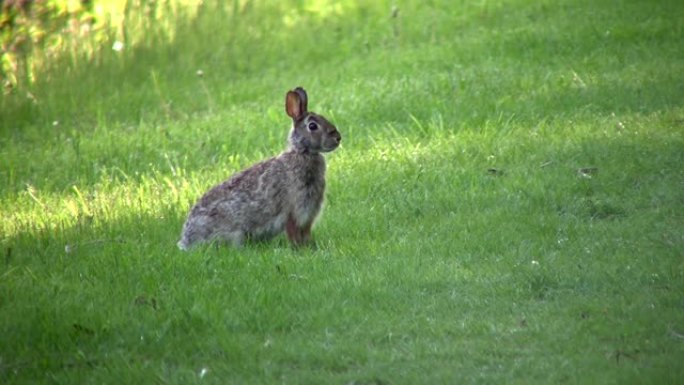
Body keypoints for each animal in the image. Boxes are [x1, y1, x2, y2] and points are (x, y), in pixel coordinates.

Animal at [178, 87, 340, 249]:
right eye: (312, 126)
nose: (338, 137)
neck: (303, 153)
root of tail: (187, 240)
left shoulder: (307, 215)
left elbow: (305, 233)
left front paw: (309, 246)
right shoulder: (293, 212)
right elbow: (293, 232)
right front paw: (299, 248)